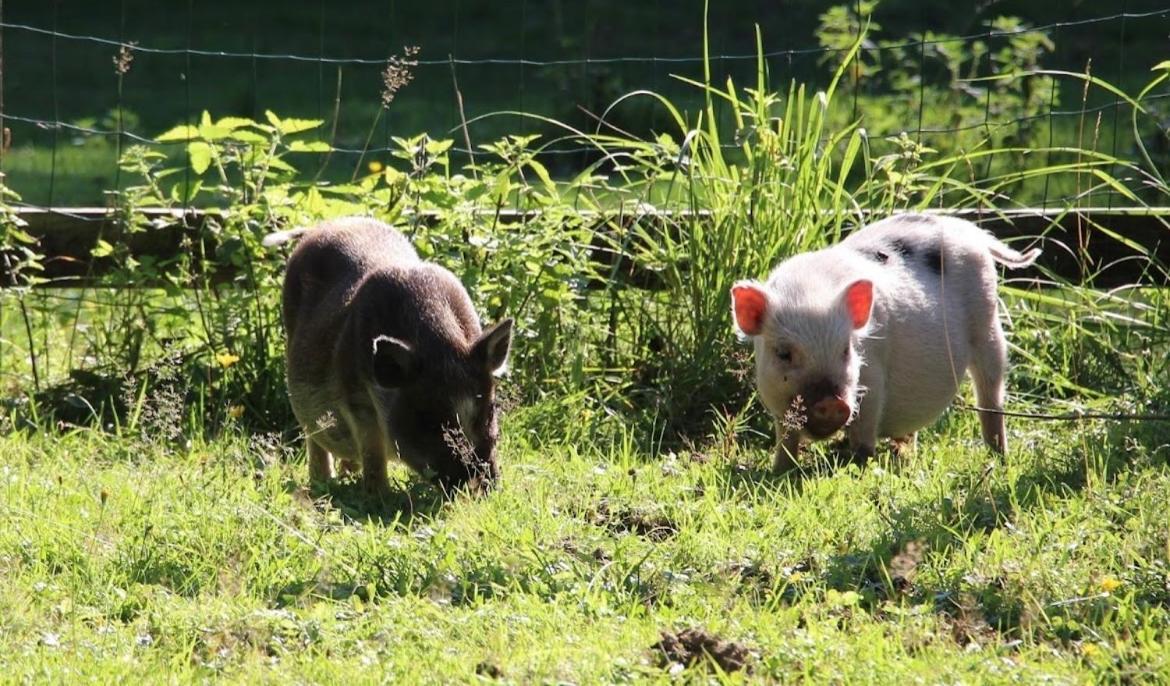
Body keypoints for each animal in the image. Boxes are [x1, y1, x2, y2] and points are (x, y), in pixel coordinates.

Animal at [730, 213, 1043, 470]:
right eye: (783, 353)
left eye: (845, 350)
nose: (832, 402)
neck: (810, 291)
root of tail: (968, 229)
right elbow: (786, 438)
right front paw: (780, 471)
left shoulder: (873, 376)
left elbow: (865, 428)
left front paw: (858, 464)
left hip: (988, 323)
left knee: (991, 394)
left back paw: (999, 456)